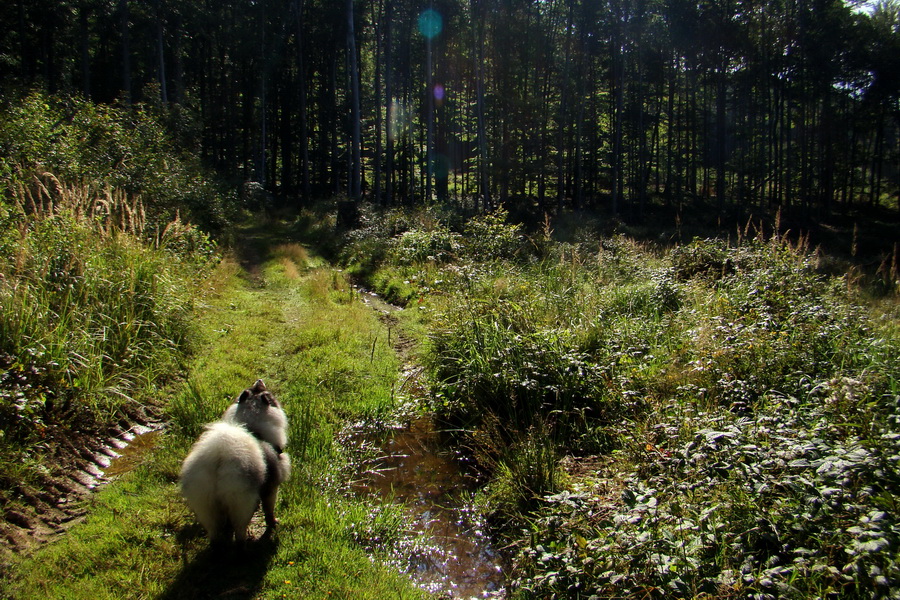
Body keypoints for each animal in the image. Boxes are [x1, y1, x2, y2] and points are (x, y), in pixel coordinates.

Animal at [176, 382, 288, 548]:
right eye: (267, 394)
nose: (259, 381)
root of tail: (220, 458)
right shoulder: (271, 487)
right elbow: (269, 510)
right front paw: (273, 523)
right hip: (241, 502)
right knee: (239, 530)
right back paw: (243, 545)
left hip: (206, 504)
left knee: (215, 531)